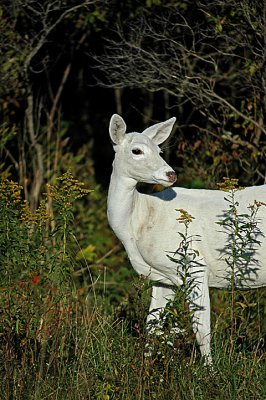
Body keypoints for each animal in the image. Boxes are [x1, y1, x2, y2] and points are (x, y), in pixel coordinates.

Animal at [106, 113, 266, 362]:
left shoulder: (194, 264)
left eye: (160, 150)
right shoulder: (163, 277)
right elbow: (152, 325)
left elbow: (201, 329)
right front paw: (144, 366)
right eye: (137, 150)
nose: (170, 173)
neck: (137, 221)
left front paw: (209, 370)